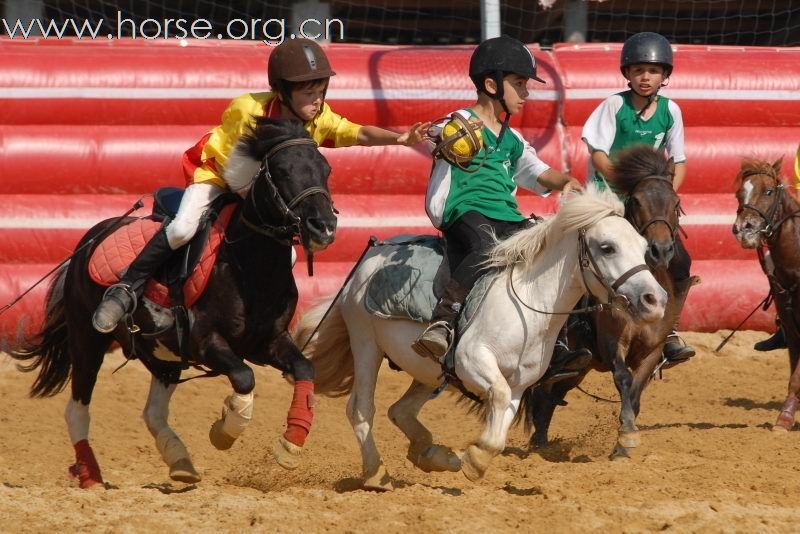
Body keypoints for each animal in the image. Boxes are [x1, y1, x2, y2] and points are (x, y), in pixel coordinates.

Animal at [7, 118, 336, 490]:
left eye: (325, 169)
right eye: (282, 170)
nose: (324, 227)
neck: (248, 266)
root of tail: (88, 241)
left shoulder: (269, 341)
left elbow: (304, 369)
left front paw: (290, 444)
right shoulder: (206, 342)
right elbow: (244, 376)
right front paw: (225, 429)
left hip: (162, 354)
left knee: (153, 412)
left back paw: (181, 463)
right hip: (87, 339)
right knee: (77, 409)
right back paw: (91, 476)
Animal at [296, 186, 664, 492]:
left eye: (643, 248)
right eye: (607, 247)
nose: (655, 300)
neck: (529, 302)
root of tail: (371, 258)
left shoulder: (519, 385)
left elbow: (501, 427)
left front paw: (473, 459)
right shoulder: (473, 361)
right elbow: (496, 401)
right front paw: (474, 459)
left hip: (427, 370)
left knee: (400, 410)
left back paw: (434, 455)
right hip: (366, 344)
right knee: (360, 409)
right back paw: (377, 474)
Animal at [520, 146, 696, 460]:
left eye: (675, 202)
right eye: (636, 201)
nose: (660, 249)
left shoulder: (652, 351)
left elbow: (635, 394)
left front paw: (623, 444)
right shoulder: (612, 342)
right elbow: (623, 379)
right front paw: (626, 434)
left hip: (578, 369)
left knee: (549, 396)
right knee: (543, 394)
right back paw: (539, 447)